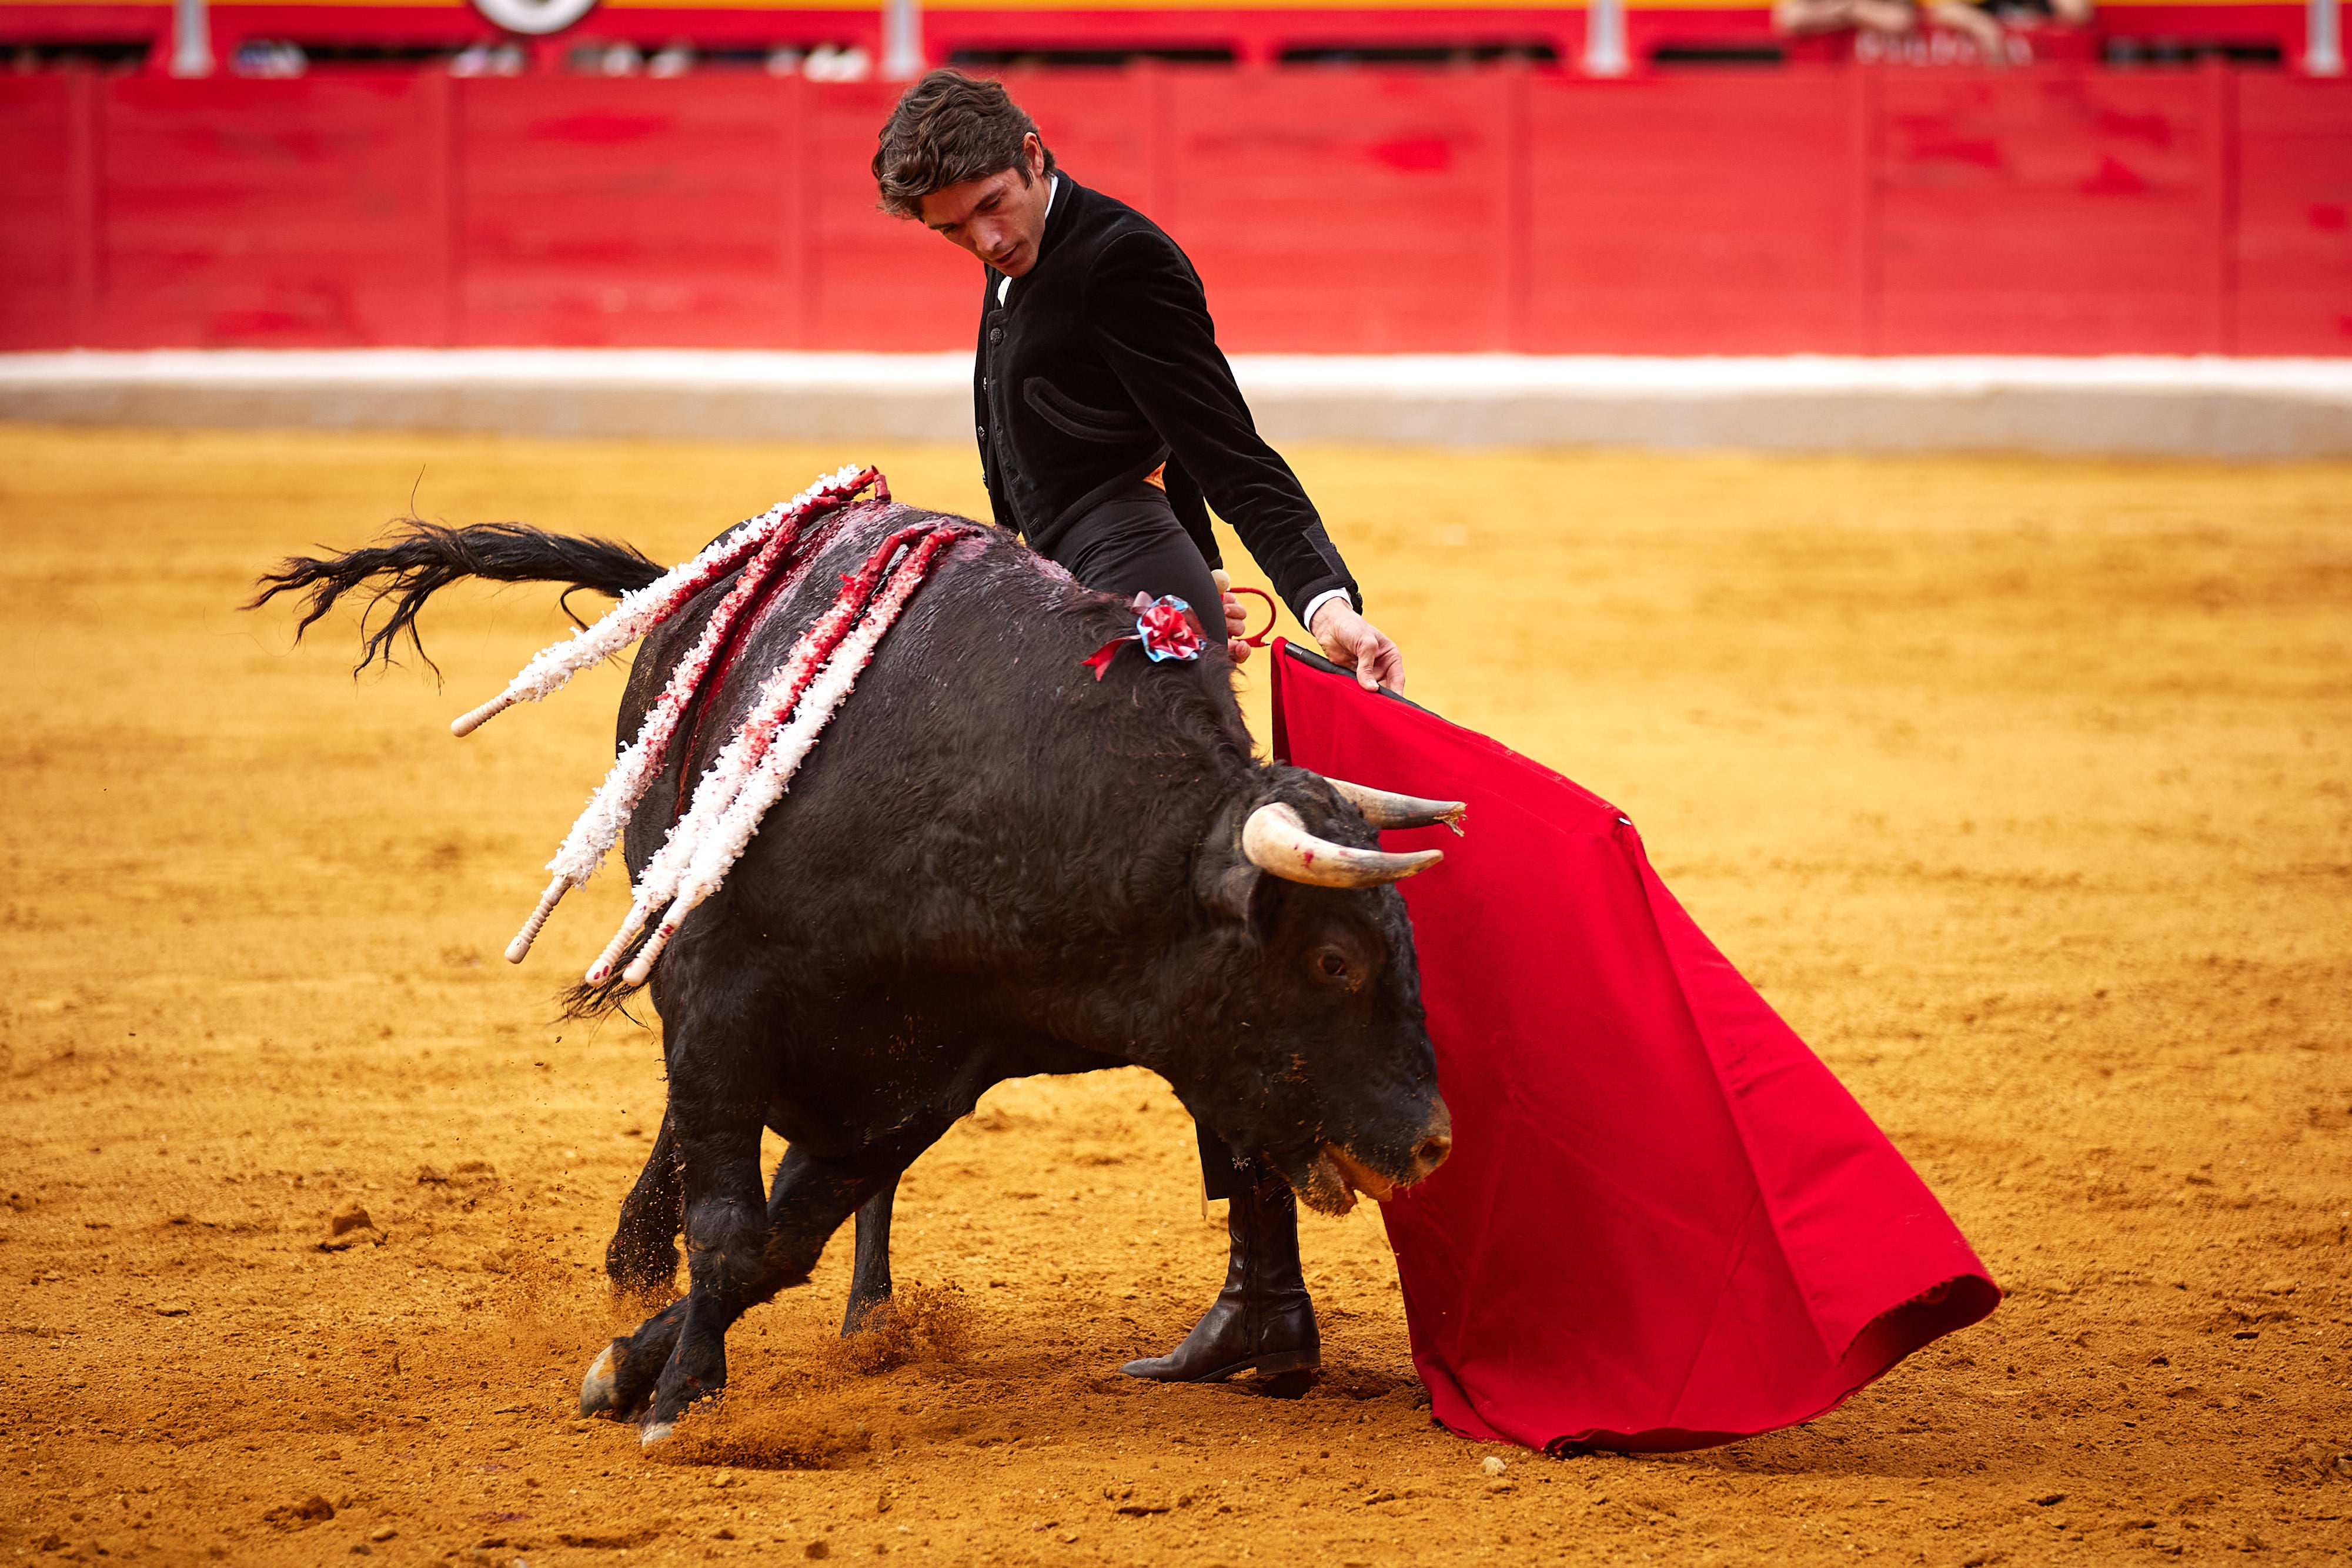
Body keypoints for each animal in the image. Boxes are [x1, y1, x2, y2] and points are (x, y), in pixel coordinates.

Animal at [253, 500, 1449, 1448]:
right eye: (1335, 958)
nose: (1434, 1141)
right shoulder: (721, 996)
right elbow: (730, 1225)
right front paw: (678, 1397)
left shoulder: (930, 1074)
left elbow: (779, 1242)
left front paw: (640, 1365)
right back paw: (642, 1252)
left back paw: (863, 1318)